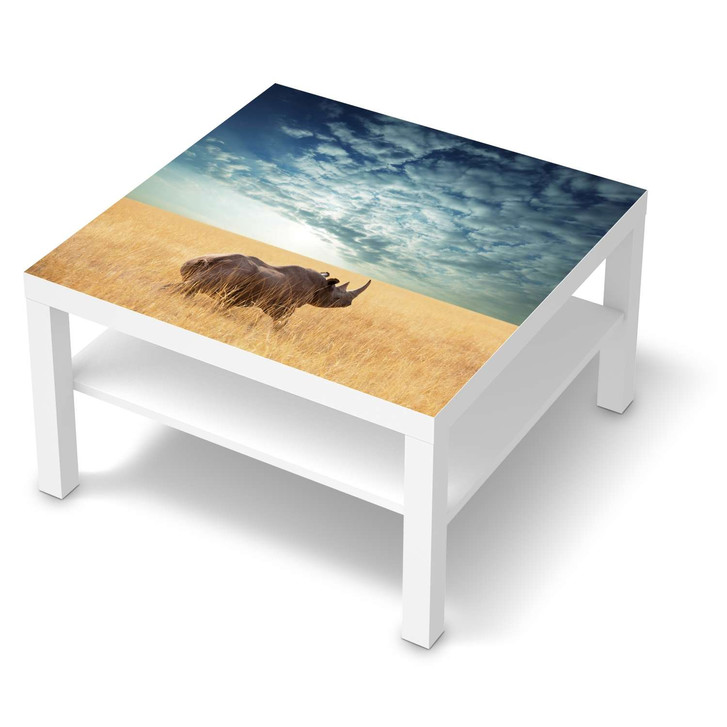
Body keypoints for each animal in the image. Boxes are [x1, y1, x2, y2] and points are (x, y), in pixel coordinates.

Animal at [169, 253, 371, 327]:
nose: (348, 304)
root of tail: (206, 261)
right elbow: (281, 323)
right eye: (337, 298)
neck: (321, 286)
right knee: (188, 287)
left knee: (190, 289)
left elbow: (224, 305)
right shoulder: (284, 307)